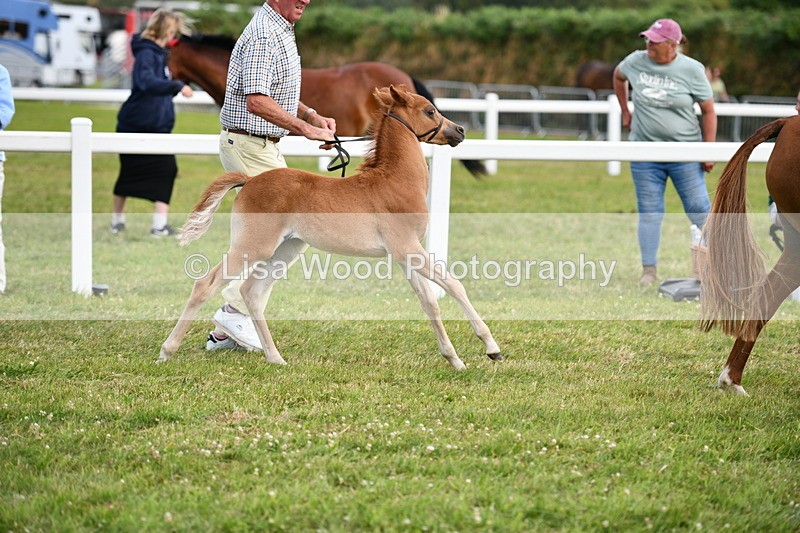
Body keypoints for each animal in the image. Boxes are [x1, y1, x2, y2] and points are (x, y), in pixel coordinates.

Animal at [159, 85, 502, 369]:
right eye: (430, 111)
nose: (460, 130)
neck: (395, 181)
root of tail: (249, 179)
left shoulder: (404, 255)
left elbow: (428, 301)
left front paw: (454, 359)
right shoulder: (408, 248)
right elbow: (454, 285)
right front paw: (491, 347)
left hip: (287, 248)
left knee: (251, 292)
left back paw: (275, 357)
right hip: (252, 246)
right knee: (206, 284)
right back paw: (167, 350)